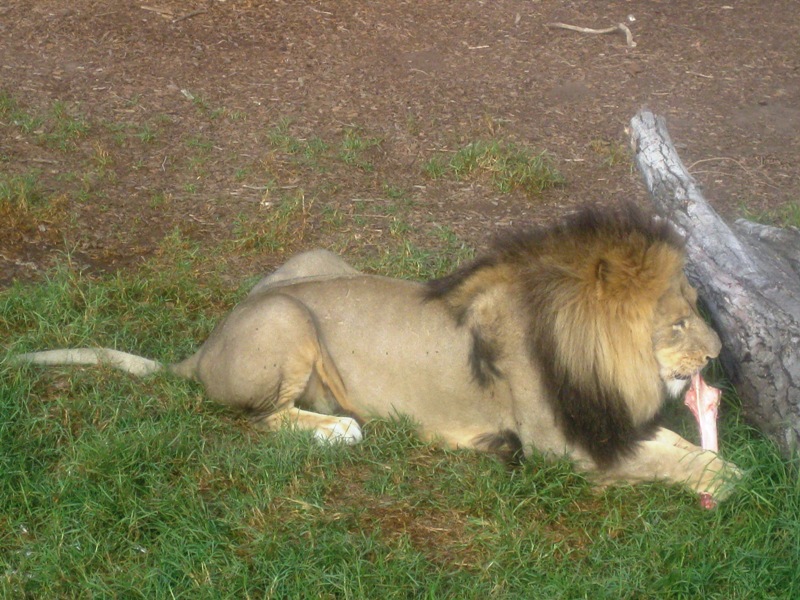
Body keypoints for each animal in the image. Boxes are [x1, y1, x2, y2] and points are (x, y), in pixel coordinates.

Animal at [10, 205, 736, 502]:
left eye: (696, 308)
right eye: (677, 324)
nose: (718, 353)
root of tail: (205, 346)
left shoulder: (603, 425)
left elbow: (671, 447)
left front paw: (714, 460)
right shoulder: (562, 446)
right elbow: (667, 462)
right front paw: (731, 479)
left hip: (316, 261)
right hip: (286, 318)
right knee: (261, 420)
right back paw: (339, 429)